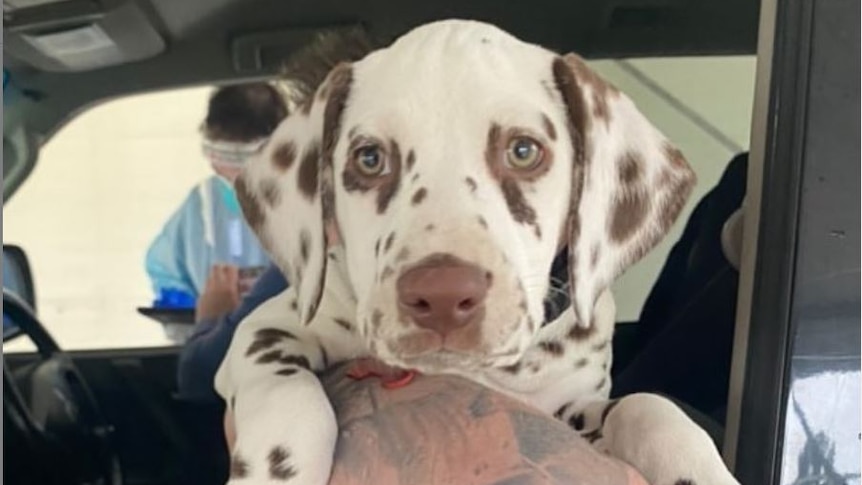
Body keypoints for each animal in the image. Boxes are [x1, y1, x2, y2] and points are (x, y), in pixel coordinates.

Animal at [216, 18, 744, 484]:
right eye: (369, 159)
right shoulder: (264, 331)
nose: (442, 296)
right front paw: (276, 469)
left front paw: (697, 466)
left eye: (523, 151)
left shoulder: (572, 406)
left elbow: (648, 407)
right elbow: (290, 394)